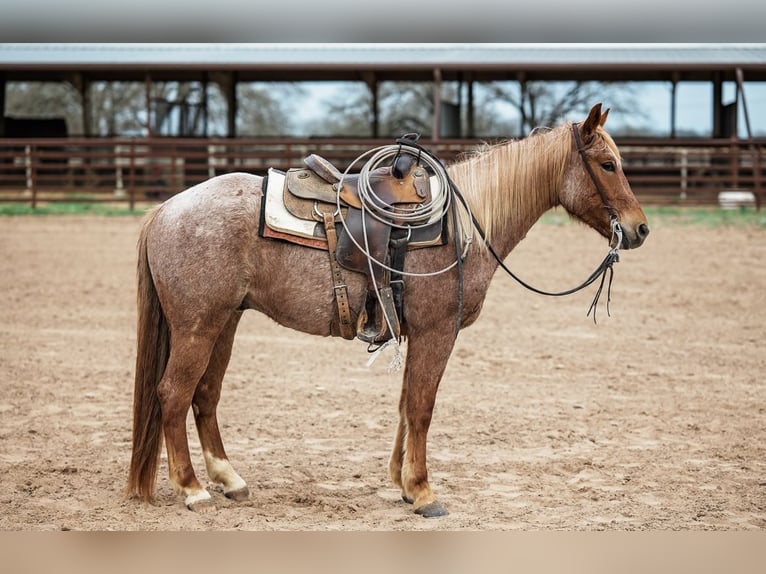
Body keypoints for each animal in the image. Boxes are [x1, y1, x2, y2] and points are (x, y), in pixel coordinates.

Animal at [127, 103, 649, 517]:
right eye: (607, 164)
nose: (640, 228)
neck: (461, 229)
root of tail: (165, 210)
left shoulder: (415, 332)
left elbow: (405, 404)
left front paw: (402, 482)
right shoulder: (438, 331)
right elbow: (421, 407)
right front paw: (423, 492)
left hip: (226, 321)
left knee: (205, 395)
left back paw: (229, 480)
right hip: (198, 327)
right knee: (174, 393)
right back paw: (192, 489)